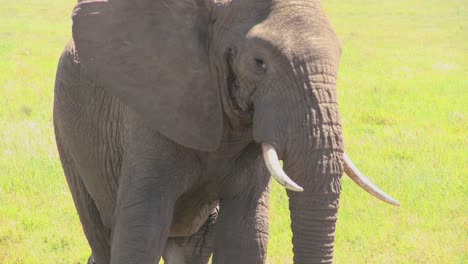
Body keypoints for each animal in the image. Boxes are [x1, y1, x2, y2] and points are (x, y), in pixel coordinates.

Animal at [54, 0, 398, 264]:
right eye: (259, 62)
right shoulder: (152, 111)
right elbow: (140, 230)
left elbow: (245, 237)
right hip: (67, 133)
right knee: (101, 233)